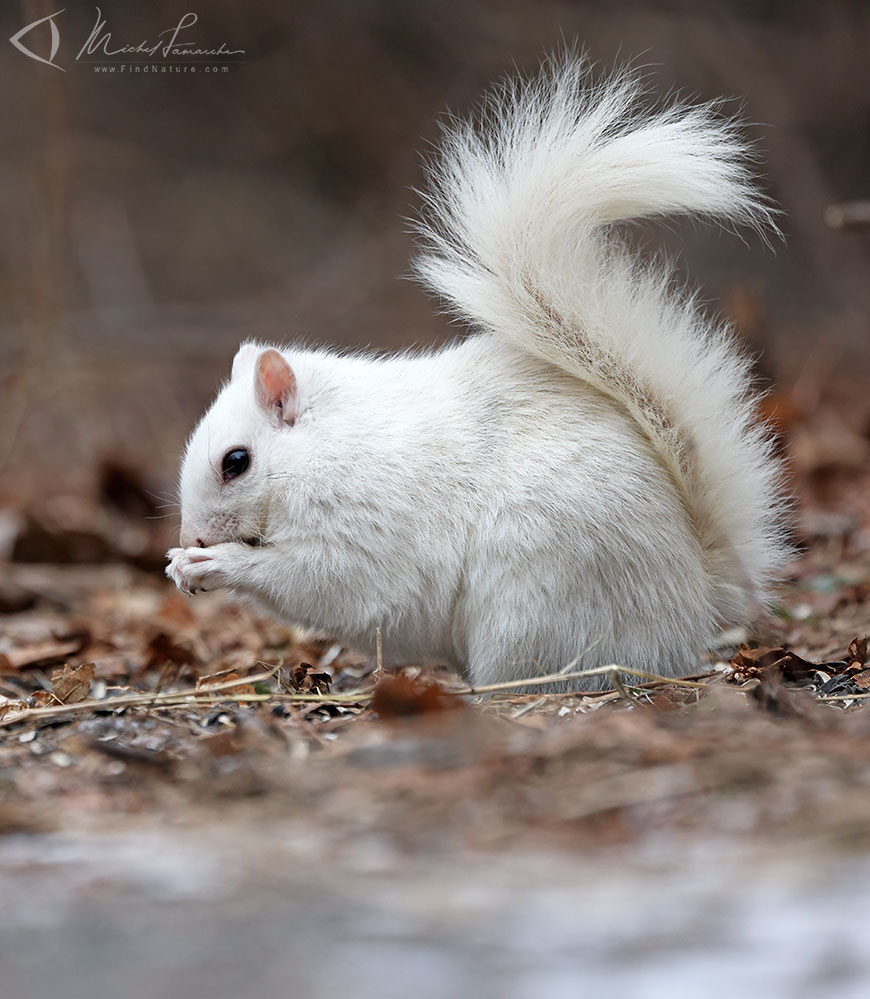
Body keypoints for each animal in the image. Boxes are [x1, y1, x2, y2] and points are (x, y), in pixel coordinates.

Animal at [167, 56, 792, 688]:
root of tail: (695, 601)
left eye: (236, 462)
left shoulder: (364, 520)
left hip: (535, 600)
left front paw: (213, 562)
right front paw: (180, 563)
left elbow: (328, 582)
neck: (326, 444)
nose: (192, 536)